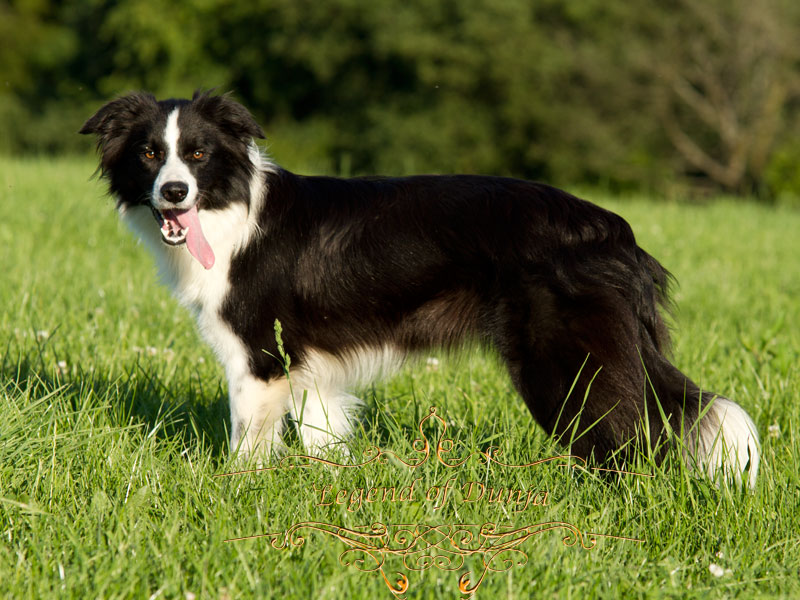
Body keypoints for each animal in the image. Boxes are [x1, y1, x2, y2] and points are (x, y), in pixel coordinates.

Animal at [83, 91, 764, 486]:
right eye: (150, 153)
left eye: (198, 155)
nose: (174, 193)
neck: (229, 211)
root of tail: (617, 232)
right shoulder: (313, 367)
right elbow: (323, 435)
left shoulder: (259, 356)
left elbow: (248, 440)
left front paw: (236, 491)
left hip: (565, 363)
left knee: (632, 440)